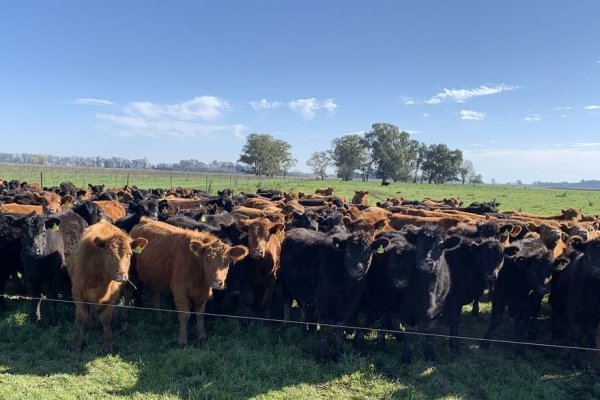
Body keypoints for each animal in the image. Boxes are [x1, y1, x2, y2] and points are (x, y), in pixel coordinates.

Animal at [67, 219, 148, 354]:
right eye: (108, 253)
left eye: (129, 254)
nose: (121, 276)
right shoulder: (77, 291)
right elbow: (81, 317)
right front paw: (76, 343)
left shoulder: (113, 295)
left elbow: (106, 318)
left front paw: (107, 343)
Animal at [130, 217, 247, 346]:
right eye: (207, 260)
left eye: (227, 261)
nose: (217, 283)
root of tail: (144, 220)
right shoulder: (179, 291)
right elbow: (184, 314)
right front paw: (182, 340)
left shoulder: (203, 293)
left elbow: (200, 314)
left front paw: (201, 336)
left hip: (157, 277)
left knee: (156, 296)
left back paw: (159, 319)